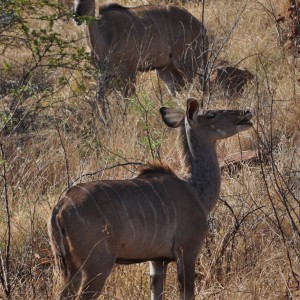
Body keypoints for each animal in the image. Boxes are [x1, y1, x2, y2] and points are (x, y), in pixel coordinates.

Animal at [48, 98, 252, 298]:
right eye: (211, 114)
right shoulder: (186, 251)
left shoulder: (157, 261)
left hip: (71, 269)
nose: (246, 112)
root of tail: (60, 209)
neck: (195, 189)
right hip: (97, 266)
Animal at [73, 0, 209, 97]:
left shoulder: (130, 70)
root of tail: (201, 26)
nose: (76, 15)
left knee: (195, 88)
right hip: (165, 69)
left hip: (187, 63)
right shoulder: (106, 74)